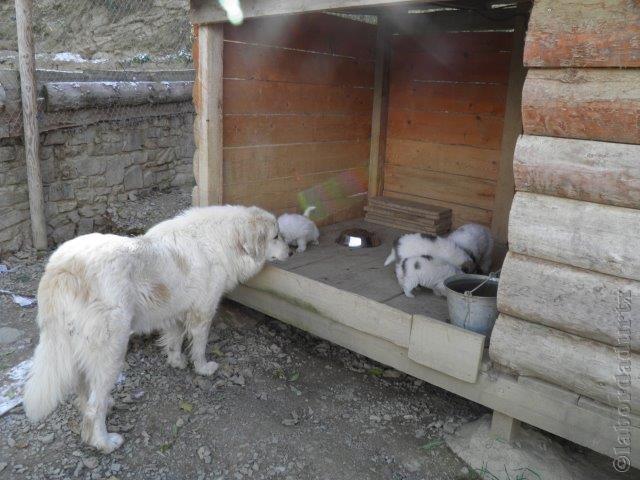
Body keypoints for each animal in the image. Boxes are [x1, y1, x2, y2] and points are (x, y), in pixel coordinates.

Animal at [23, 204, 290, 452]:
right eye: (276, 236)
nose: (292, 250)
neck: (222, 239)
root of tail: (63, 269)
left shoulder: (175, 313)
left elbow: (174, 340)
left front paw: (176, 361)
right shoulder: (202, 313)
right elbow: (199, 346)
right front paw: (203, 368)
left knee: (82, 391)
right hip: (111, 350)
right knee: (92, 407)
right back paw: (105, 442)